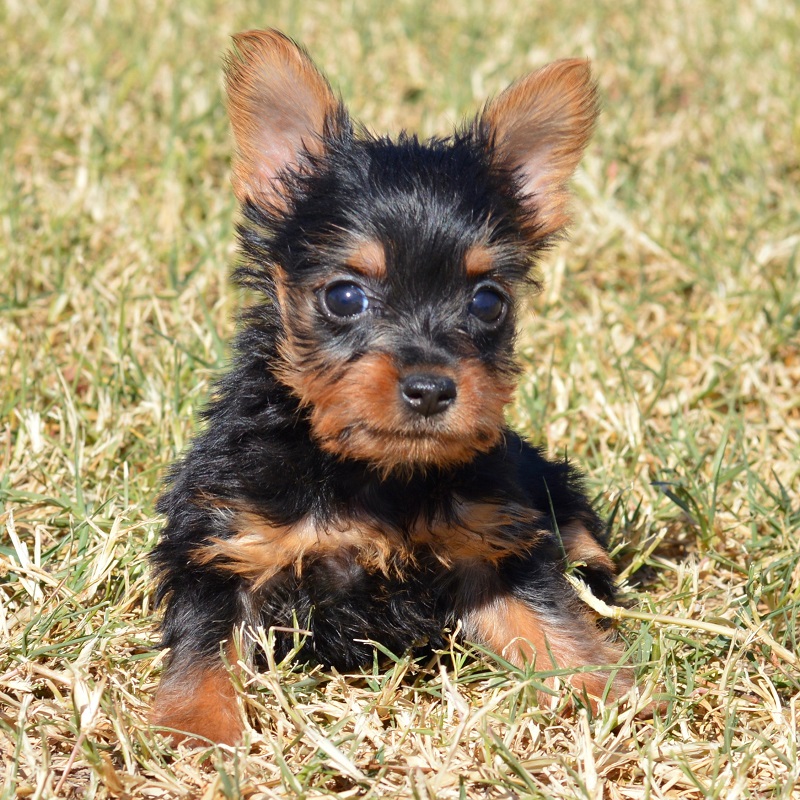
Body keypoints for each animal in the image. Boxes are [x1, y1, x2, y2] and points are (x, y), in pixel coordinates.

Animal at [150, 29, 632, 744]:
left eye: (488, 302)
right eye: (345, 296)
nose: (432, 389)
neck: (373, 472)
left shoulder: (491, 543)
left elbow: (547, 617)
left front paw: (608, 690)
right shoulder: (228, 543)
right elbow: (204, 640)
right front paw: (198, 728)